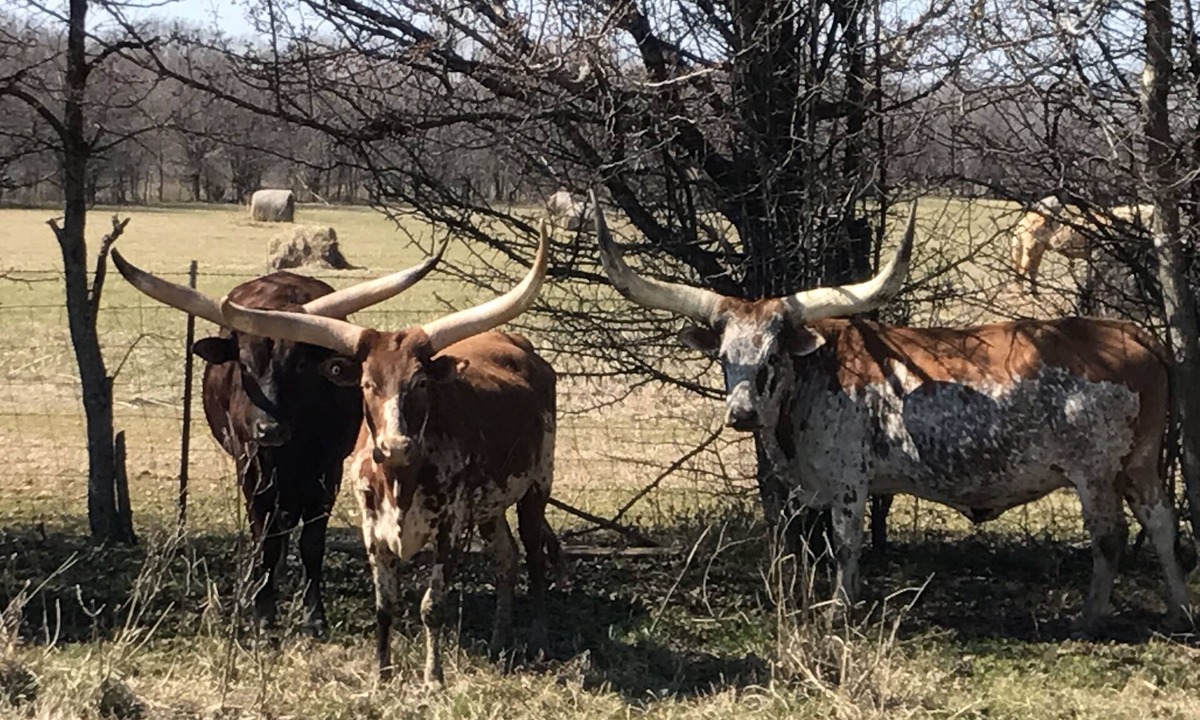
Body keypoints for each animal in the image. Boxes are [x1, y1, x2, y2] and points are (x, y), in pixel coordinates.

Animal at [111, 248, 444, 635]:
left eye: (300, 363)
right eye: (243, 364)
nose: (269, 430)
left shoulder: (327, 471)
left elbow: (312, 543)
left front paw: (314, 615)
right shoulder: (252, 468)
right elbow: (265, 540)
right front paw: (263, 610)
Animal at [214, 224, 561, 686]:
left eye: (420, 383)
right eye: (366, 384)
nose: (394, 446)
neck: (401, 480)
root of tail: (519, 344)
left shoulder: (451, 527)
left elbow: (432, 605)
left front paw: (433, 677)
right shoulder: (372, 527)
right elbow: (384, 605)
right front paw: (383, 673)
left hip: (537, 486)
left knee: (535, 556)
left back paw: (538, 637)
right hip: (490, 506)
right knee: (507, 557)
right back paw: (499, 641)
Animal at [591, 193, 1189, 633]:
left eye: (772, 355)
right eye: (723, 357)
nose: (740, 414)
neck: (811, 379)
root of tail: (1131, 333)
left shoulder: (849, 482)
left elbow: (845, 543)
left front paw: (838, 612)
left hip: (1096, 472)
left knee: (1110, 536)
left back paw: (1090, 618)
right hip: (1140, 463)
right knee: (1161, 521)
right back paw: (1181, 610)